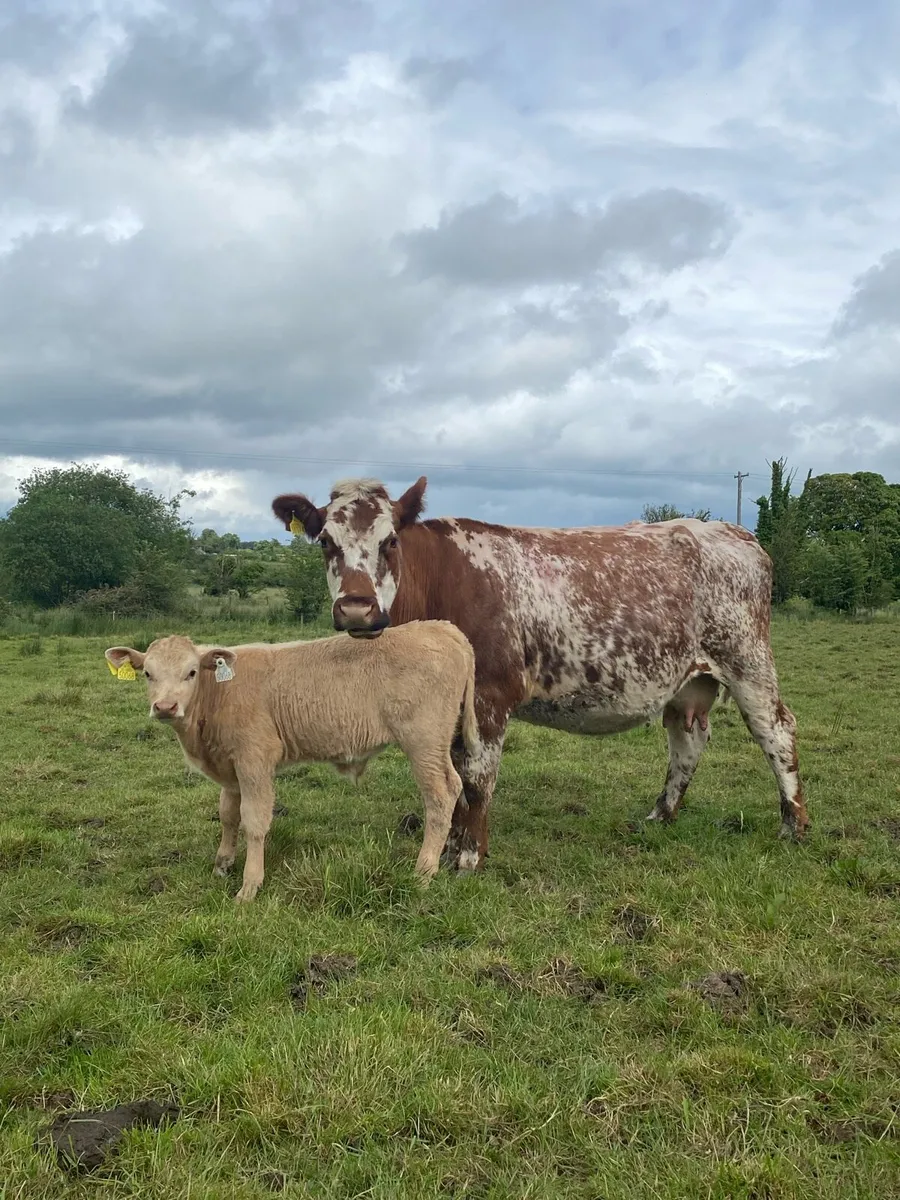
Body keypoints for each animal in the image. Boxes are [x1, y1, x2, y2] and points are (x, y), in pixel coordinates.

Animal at [105, 621, 479, 901]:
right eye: (147, 673)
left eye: (192, 672)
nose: (165, 707)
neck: (219, 694)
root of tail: (440, 627)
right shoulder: (230, 768)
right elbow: (227, 815)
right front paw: (222, 864)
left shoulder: (255, 760)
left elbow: (254, 821)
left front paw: (249, 886)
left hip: (423, 742)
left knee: (441, 795)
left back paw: (423, 872)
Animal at [271, 477, 808, 873]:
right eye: (325, 542)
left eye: (390, 540)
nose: (357, 609)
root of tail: (734, 532)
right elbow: (456, 773)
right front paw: (452, 846)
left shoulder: (489, 696)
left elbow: (476, 778)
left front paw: (469, 856)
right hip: (685, 677)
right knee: (687, 741)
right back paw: (660, 815)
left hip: (747, 660)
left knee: (776, 731)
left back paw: (794, 826)